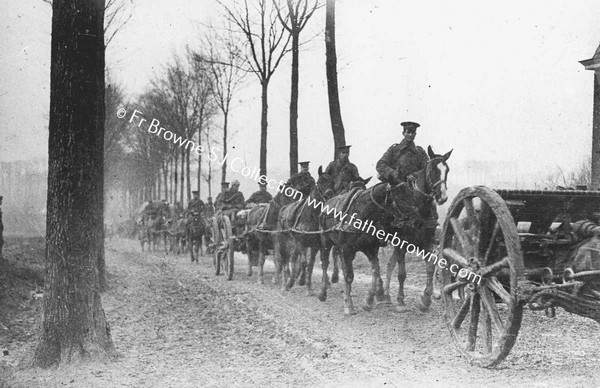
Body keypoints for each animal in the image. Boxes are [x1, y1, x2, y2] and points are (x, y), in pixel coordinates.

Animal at [318, 146, 450, 316]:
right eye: (433, 169)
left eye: (447, 170)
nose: (442, 197)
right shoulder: (401, 243)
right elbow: (401, 274)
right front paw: (400, 302)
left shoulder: (426, 242)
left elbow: (430, 267)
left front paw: (426, 300)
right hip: (326, 241)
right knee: (326, 262)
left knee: (387, 264)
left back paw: (383, 294)